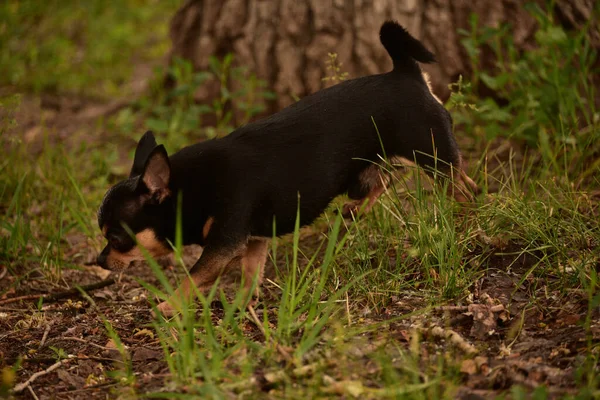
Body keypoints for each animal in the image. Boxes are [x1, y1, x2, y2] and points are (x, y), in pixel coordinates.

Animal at [95, 21, 478, 316]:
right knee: (387, 179)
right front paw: (243, 305)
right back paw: (357, 211)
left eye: (116, 239)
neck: (185, 187)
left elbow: (193, 277)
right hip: (365, 169)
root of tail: (404, 72)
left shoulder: (224, 244)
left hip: (431, 153)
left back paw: (464, 219)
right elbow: (251, 274)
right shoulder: (254, 240)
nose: (99, 261)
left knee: (461, 183)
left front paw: (167, 307)